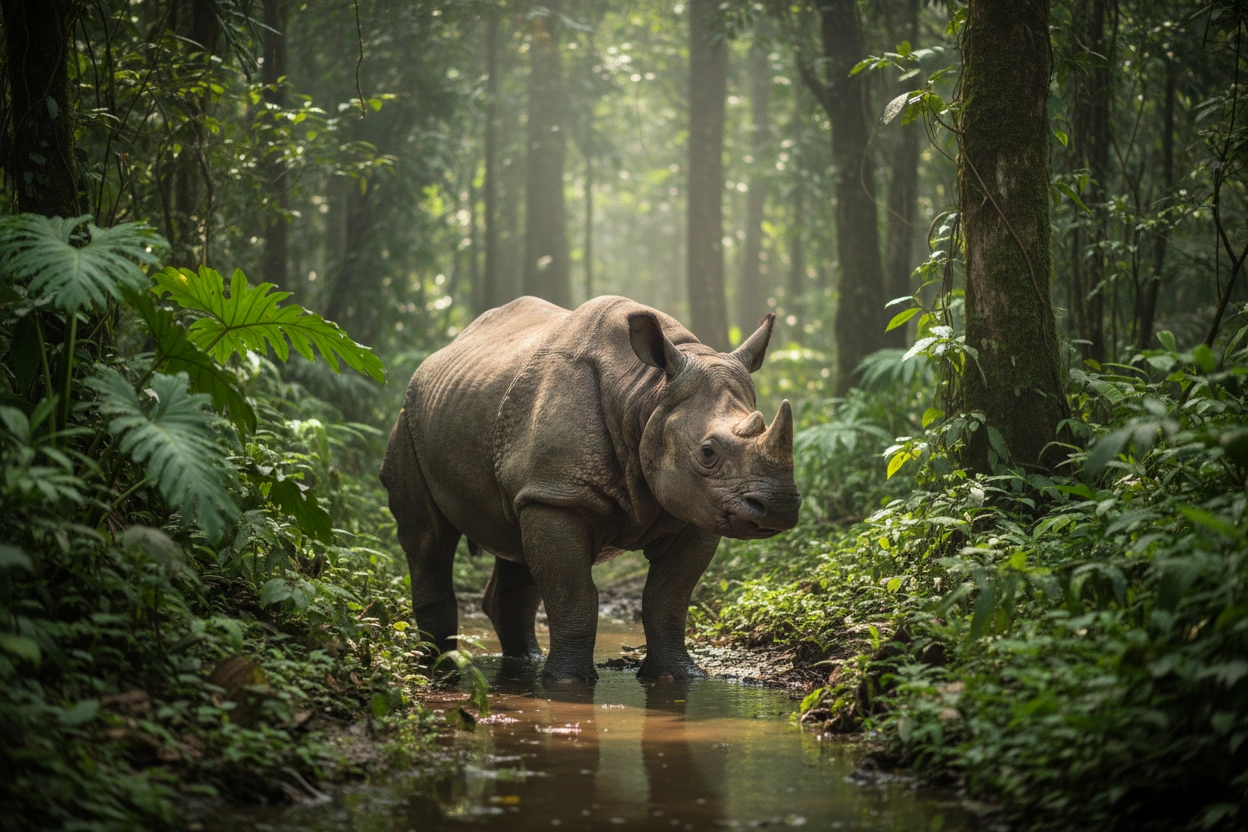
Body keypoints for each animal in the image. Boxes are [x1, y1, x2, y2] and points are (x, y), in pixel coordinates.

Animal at [380, 295, 801, 682]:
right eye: (708, 452)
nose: (779, 506)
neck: (647, 393)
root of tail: (439, 355)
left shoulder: (696, 508)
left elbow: (668, 600)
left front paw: (680, 677)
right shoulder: (559, 494)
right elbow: (575, 597)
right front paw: (566, 683)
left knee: (516, 544)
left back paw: (524, 662)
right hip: (409, 419)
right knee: (429, 542)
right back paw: (440, 668)